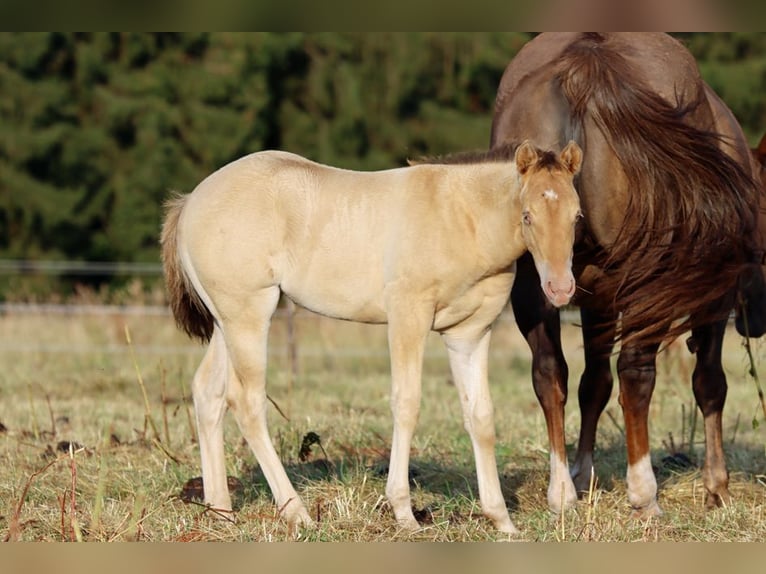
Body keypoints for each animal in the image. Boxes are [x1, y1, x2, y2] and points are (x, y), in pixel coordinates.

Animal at [161, 141, 583, 534]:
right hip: (249, 314)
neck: (462, 216)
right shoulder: (408, 316)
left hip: (226, 322)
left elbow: (480, 416)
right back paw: (296, 513)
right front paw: (404, 514)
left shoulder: (469, 334)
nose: (560, 289)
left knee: (208, 392)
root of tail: (191, 201)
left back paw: (221, 512)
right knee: (246, 401)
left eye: (577, 215)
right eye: (527, 215)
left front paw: (502, 521)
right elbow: (407, 404)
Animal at [490, 33, 763, 517]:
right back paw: (644, 492)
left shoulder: (594, 297)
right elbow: (710, 384)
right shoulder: (713, 299)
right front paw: (717, 485)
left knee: (550, 374)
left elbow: (592, 384)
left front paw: (583, 474)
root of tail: (584, 70)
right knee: (637, 373)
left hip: (535, 285)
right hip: (647, 288)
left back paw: (562, 490)